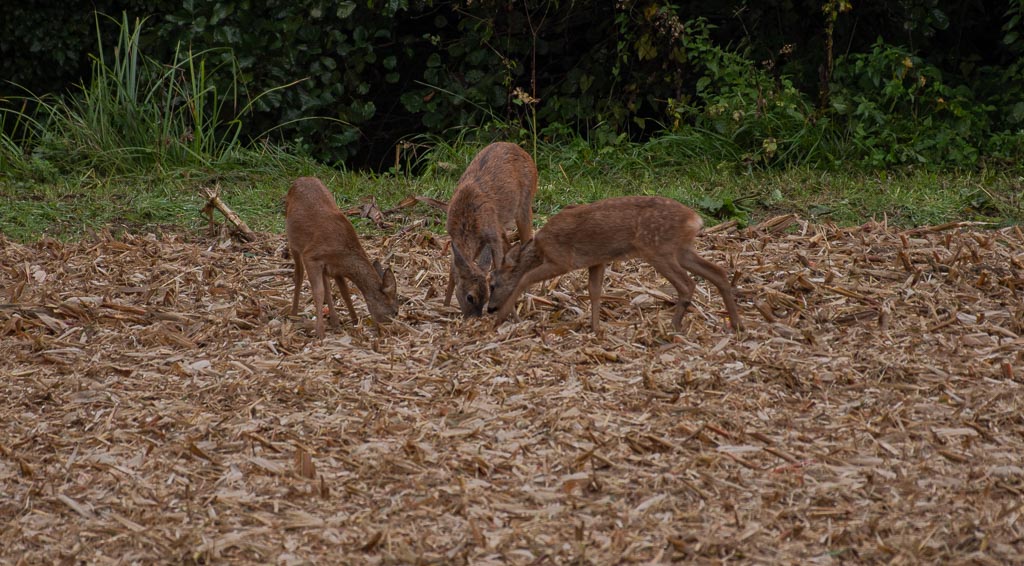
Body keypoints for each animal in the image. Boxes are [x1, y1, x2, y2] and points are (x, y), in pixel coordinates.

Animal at [290, 176, 401, 337]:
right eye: (396, 312)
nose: (389, 332)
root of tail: (300, 179)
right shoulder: (311, 255)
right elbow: (318, 292)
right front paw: (320, 333)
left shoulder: (335, 268)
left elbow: (344, 292)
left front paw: (354, 321)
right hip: (293, 242)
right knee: (298, 274)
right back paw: (293, 314)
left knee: (327, 286)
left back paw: (335, 322)